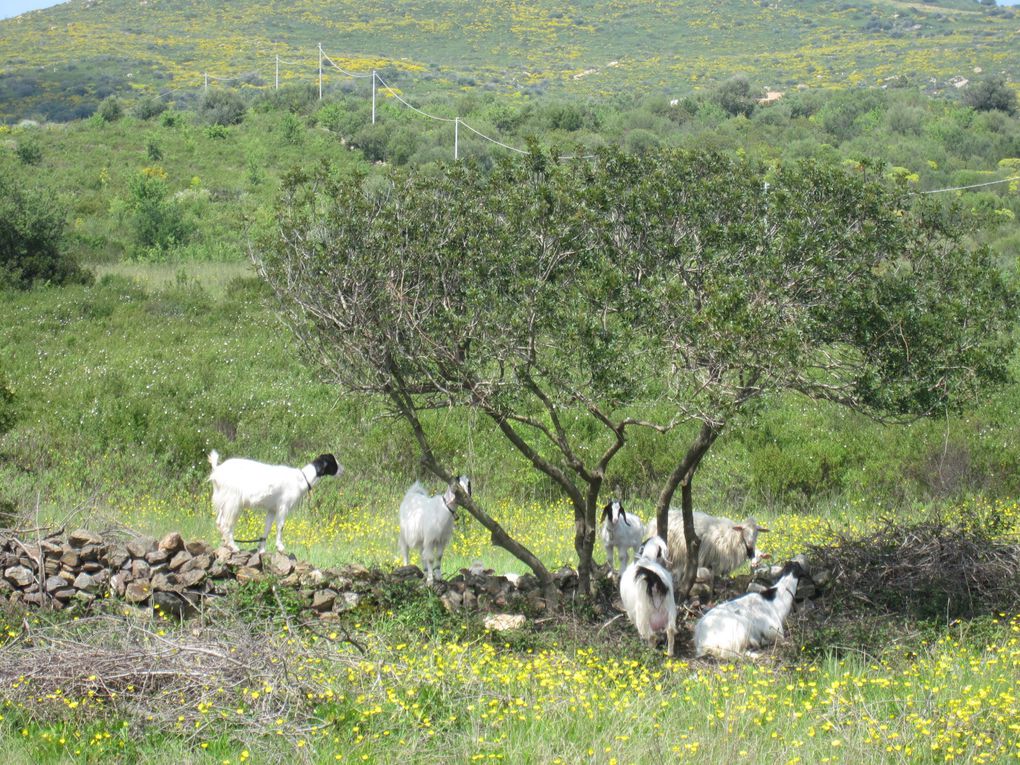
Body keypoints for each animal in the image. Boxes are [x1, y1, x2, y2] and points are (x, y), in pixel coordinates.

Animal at [208, 452, 342, 554]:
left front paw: (262, 550)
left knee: (219, 522)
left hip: (224, 501)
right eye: (333, 461)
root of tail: (217, 471)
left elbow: (267, 527)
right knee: (226, 524)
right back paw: (234, 546)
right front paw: (280, 547)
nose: (342, 470)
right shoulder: (283, 506)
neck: (301, 479)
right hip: (233, 501)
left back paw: (226, 544)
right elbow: (280, 526)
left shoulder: (272, 509)